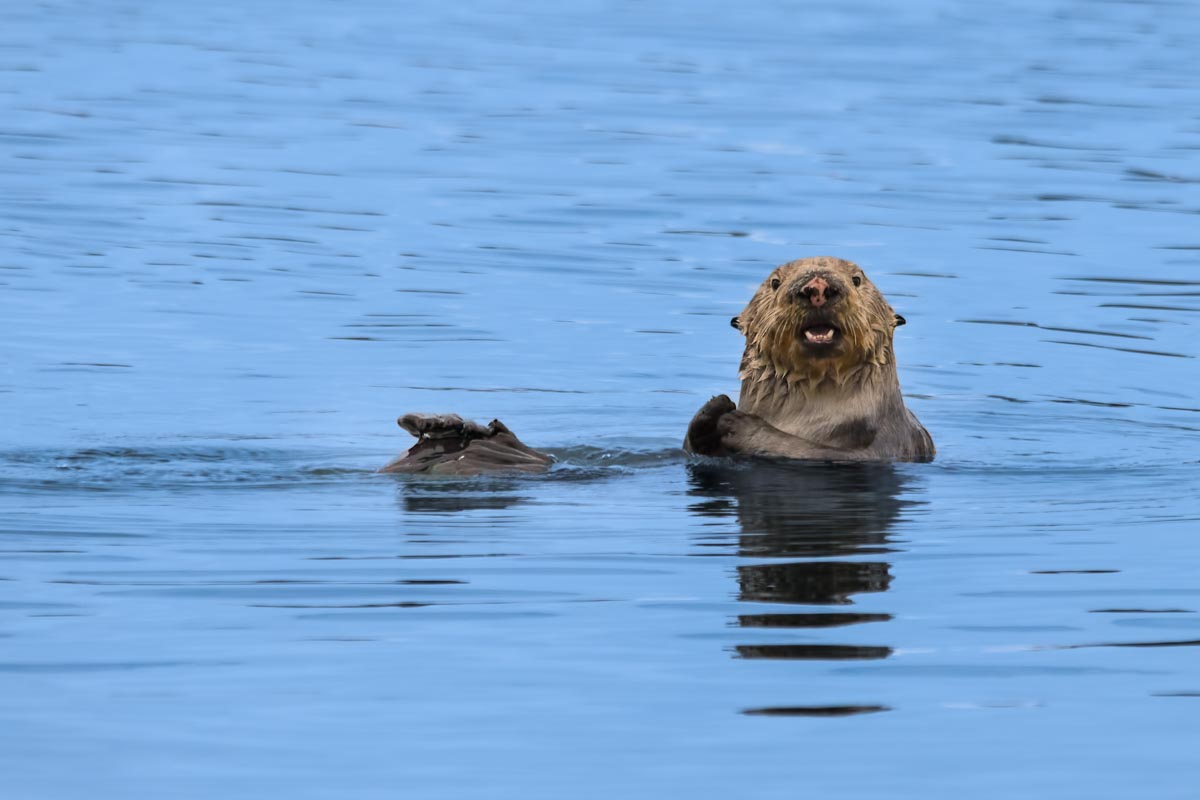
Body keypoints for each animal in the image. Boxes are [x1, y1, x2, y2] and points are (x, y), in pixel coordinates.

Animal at [379, 256, 931, 474]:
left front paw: (727, 412)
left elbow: (807, 451)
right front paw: (714, 409)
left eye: (857, 278)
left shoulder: (877, 448)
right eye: (776, 281)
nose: (817, 285)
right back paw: (442, 429)